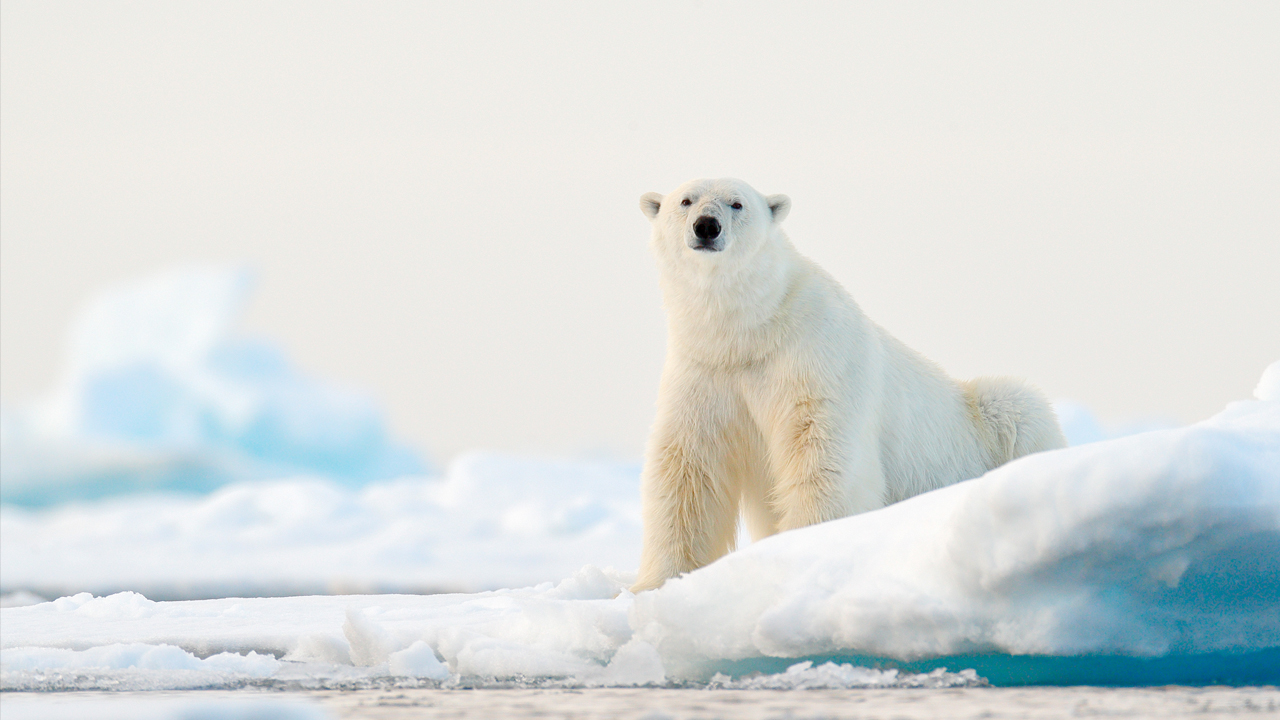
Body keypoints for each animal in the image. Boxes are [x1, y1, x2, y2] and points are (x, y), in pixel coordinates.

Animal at [634, 178, 1064, 589]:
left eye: (737, 203)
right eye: (686, 201)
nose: (707, 226)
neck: (751, 331)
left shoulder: (815, 354)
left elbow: (821, 451)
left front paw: (806, 548)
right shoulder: (704, 372)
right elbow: (688, 469)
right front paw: (653, 584)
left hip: (986, 421)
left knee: (1017, 408)